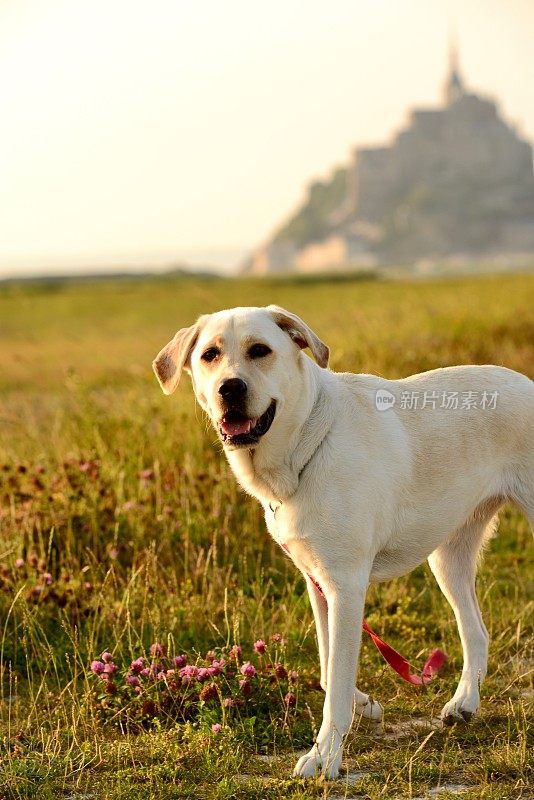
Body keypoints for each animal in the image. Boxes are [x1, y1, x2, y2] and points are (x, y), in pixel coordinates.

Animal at [153, 304, 532, 780]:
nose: (230, 388)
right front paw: (363, 704)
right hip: (447, 558)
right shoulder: (318, 584)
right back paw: (464, 703)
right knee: (476, 630)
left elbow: (333, 683)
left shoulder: (347, 586)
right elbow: (327, 667)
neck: (302, 450)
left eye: (260, 351)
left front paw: (325, 756)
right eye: (209, 355)